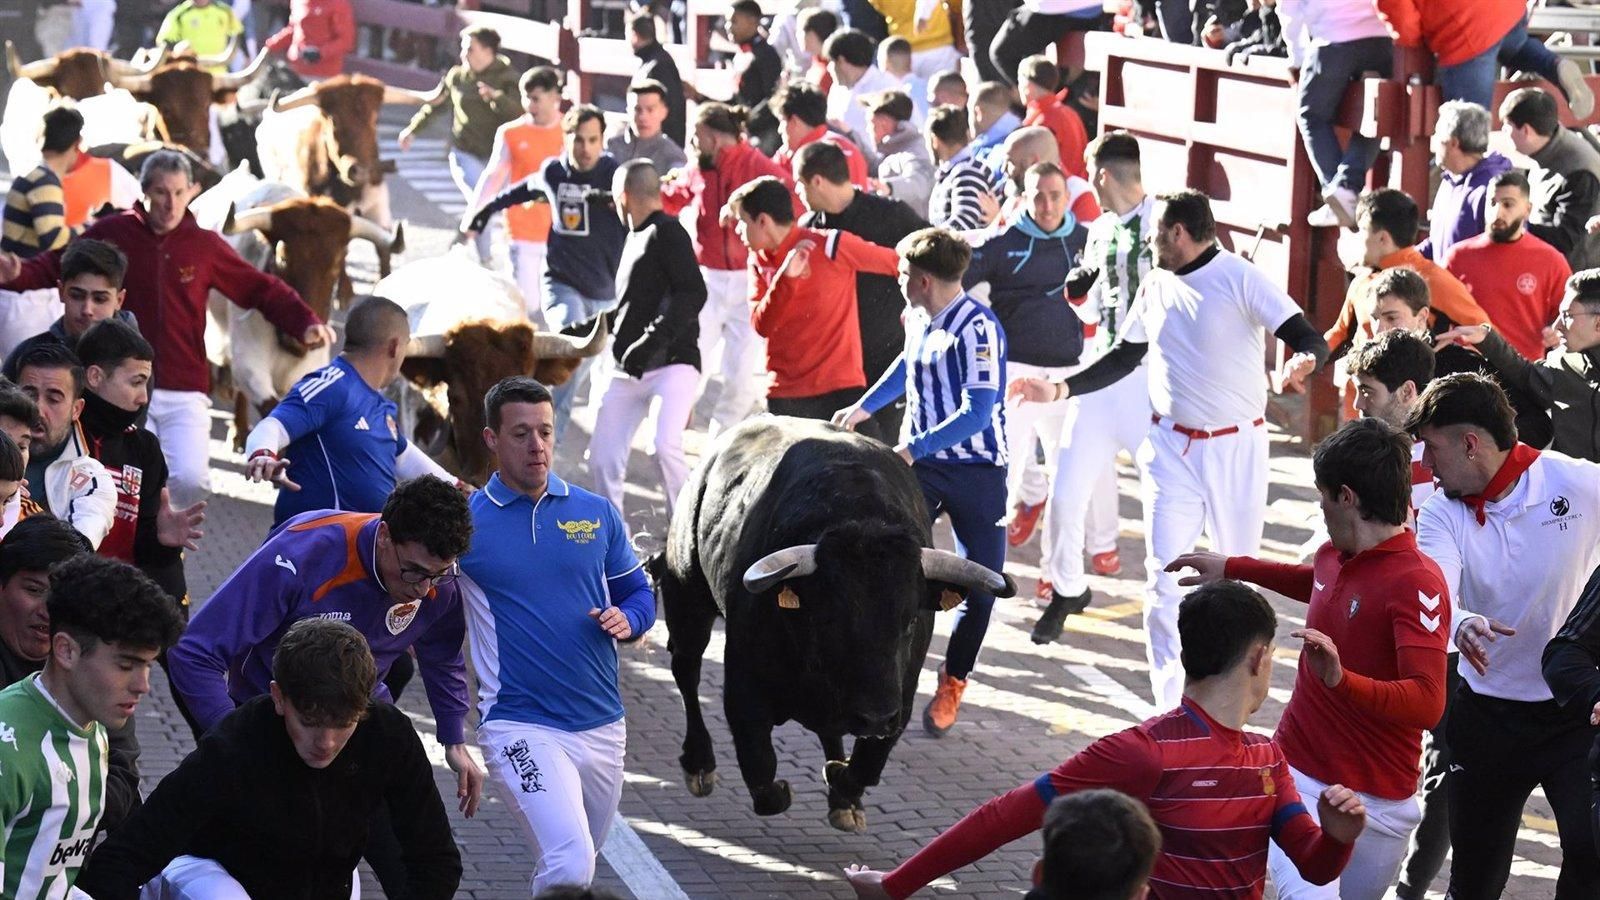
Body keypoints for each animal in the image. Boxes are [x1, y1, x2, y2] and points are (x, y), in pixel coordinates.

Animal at [649, 416, 1011, 832]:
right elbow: (761, 769)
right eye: (828, 621)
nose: (873, 716)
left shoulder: (900, 699)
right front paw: (792, 787)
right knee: (686, 669)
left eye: (908, 622)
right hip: (687, 591)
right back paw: (699, 765)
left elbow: (867, 764)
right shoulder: (743, 684)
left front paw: (841, 782)